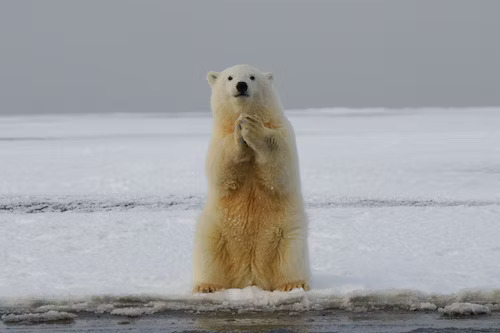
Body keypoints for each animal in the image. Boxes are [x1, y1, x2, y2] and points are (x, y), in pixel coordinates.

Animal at [193, 63, 310, 292]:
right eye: (229, 77)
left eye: (252, 77)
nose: (241, 85)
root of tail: (251, 278)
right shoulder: (218, 138)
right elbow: (221, 169)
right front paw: (240, 131)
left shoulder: (282, 130)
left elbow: (281, 166)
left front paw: (253, 127)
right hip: (216, 231)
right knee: (208, 253)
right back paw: (207, 286)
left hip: (287, 232)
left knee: (291, 256)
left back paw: (293, 284)